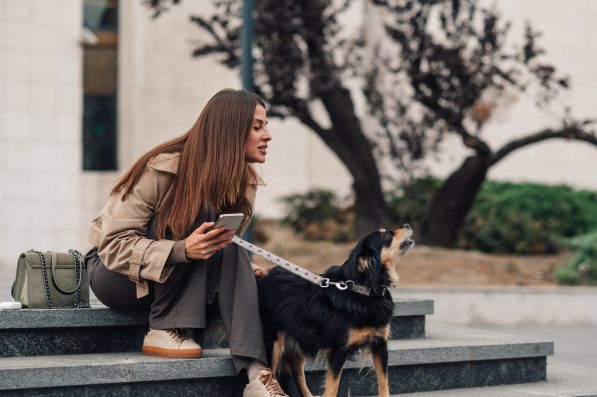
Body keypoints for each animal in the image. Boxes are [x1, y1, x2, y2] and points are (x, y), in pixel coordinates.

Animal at [256, 224, 414, 396]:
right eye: (385, 235)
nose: (407, 225)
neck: (363, 289)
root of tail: (259, 277)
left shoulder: (380, 345)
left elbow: (384, 384)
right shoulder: (338, 350)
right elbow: (332, 387)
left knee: (298, 376)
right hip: (273, 344)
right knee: (271, 373)